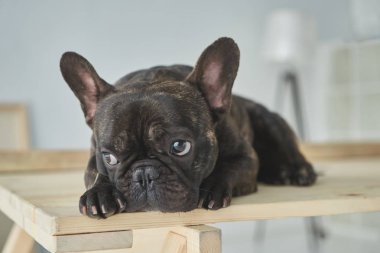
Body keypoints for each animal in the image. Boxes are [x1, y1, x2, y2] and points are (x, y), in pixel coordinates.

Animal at [60, 36, 314, 218]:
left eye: (179, 147)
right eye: (109, 157)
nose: (144, 174)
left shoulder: (246, 159)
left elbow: (228, 168)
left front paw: (213, 187)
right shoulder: (94, 158)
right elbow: (96, 173)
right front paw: (98, 194)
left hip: (267, 119)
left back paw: (297, 170)